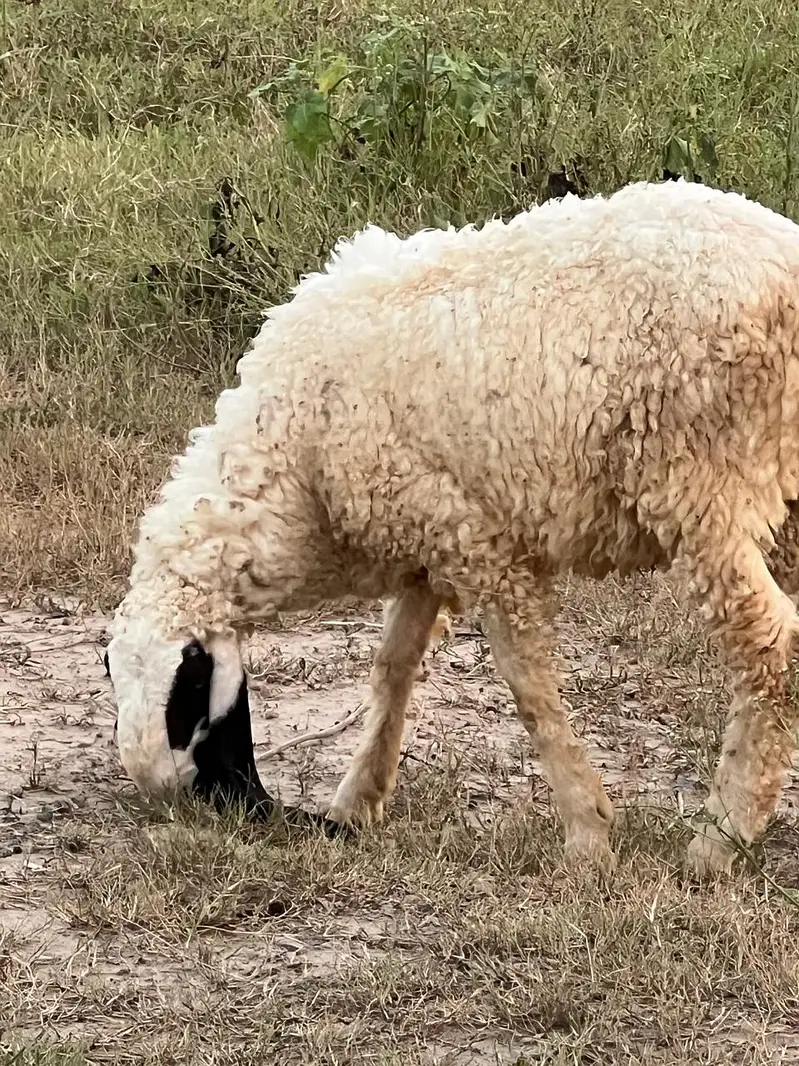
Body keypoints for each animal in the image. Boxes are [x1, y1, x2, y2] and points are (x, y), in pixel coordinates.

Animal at [106, 177, 799, 877]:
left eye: (190, 702)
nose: (256, 808)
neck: (296, 461)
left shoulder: (479, 543)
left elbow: (527, 688)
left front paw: (586, 833)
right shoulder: (426, 541)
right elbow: (391, 669)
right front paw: (357, 802)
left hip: (701, 485)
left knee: (770, 648)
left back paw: (721, 837)